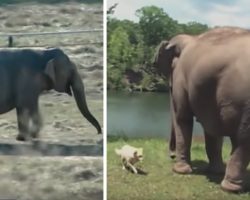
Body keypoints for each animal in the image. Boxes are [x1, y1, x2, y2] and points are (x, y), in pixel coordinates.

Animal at [153, 26, 250, 192]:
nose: (171, 155)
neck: (189, 38)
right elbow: (212, 130)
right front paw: (215, 171)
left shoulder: (180, 77)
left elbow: (182, 117)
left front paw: (180, 171)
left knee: (242, 139)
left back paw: (229, 188)